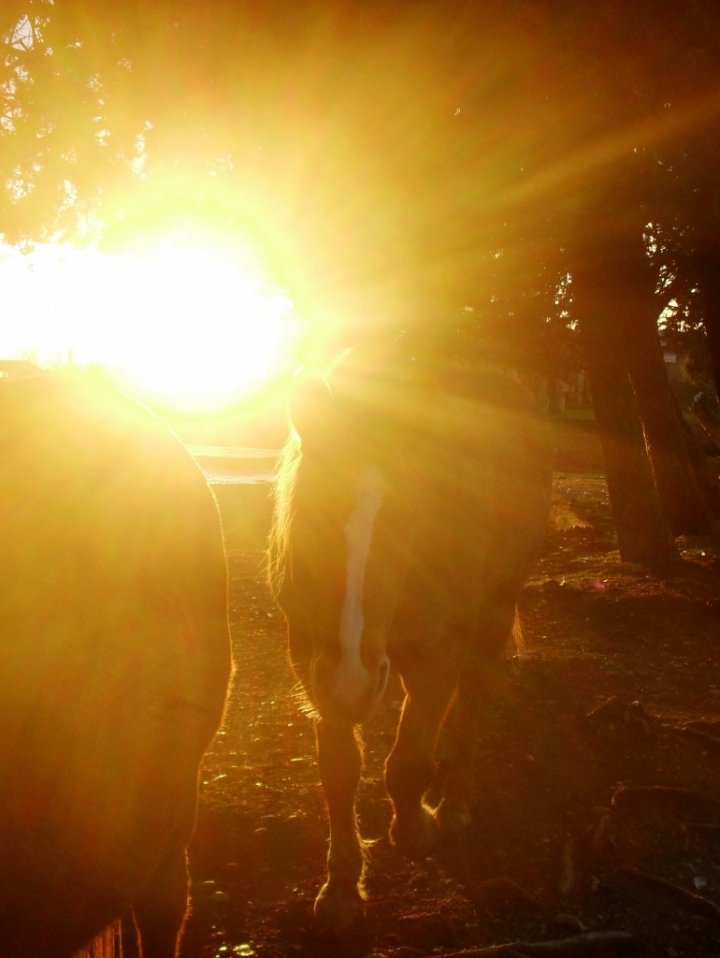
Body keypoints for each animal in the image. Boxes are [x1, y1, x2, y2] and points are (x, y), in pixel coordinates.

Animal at [268, 358, 556, 928]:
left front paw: (414, 829)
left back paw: (454, 807)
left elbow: (408, 762)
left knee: (472, 705)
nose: (353, 683)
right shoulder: (313, 664)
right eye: (312, 508)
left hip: (493, 615)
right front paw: (341, 886)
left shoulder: (436, 656)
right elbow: (339, 773)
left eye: (408, 518)